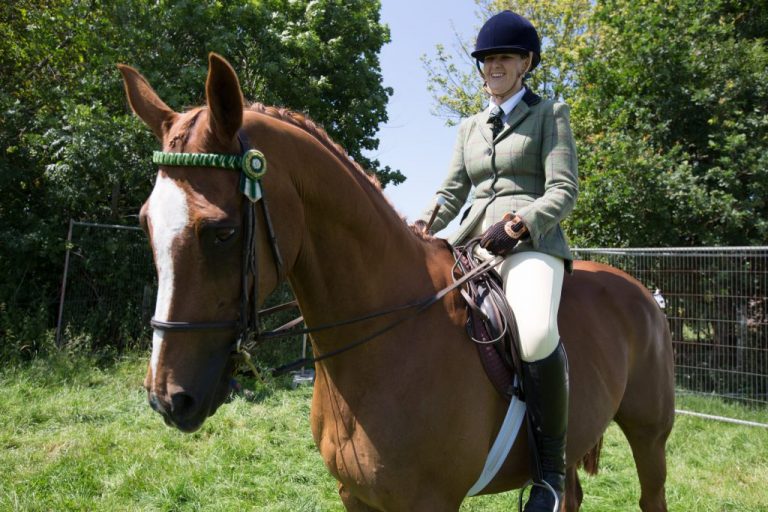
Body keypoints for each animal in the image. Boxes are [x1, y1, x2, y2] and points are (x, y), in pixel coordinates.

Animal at [118, 54, 672, 510]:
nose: (168, 400)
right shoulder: (355, 496)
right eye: (145, 222)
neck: (384, 340)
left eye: (221, 232)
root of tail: (640, 292)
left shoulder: (427, 503)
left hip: (649, 434)